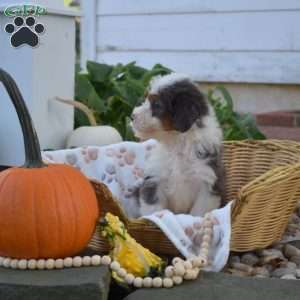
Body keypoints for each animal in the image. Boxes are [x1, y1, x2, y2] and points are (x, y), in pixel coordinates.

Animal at [130, 74, 224, 217]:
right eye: (146, 99)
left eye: (157, 104)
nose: (132, 116)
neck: (177, 143)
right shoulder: (154, 181)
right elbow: (154, 210)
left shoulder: (207, 185)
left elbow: (197, 213)